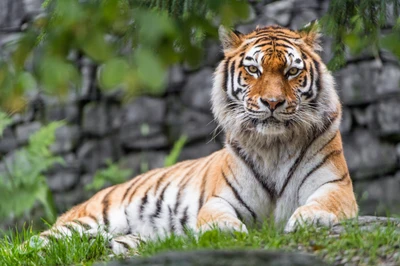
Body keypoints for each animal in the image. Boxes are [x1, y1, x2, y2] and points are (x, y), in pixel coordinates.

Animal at [36, 23, 358, 255]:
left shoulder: (336, 186)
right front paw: (224, 231)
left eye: (292, 71)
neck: (274, 146)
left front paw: (310, 219)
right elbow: (215, 216)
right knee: (36, 242)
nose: (272, 102)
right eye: (253, 69)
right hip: (90, 218)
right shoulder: (220, 198)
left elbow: (324, 203)